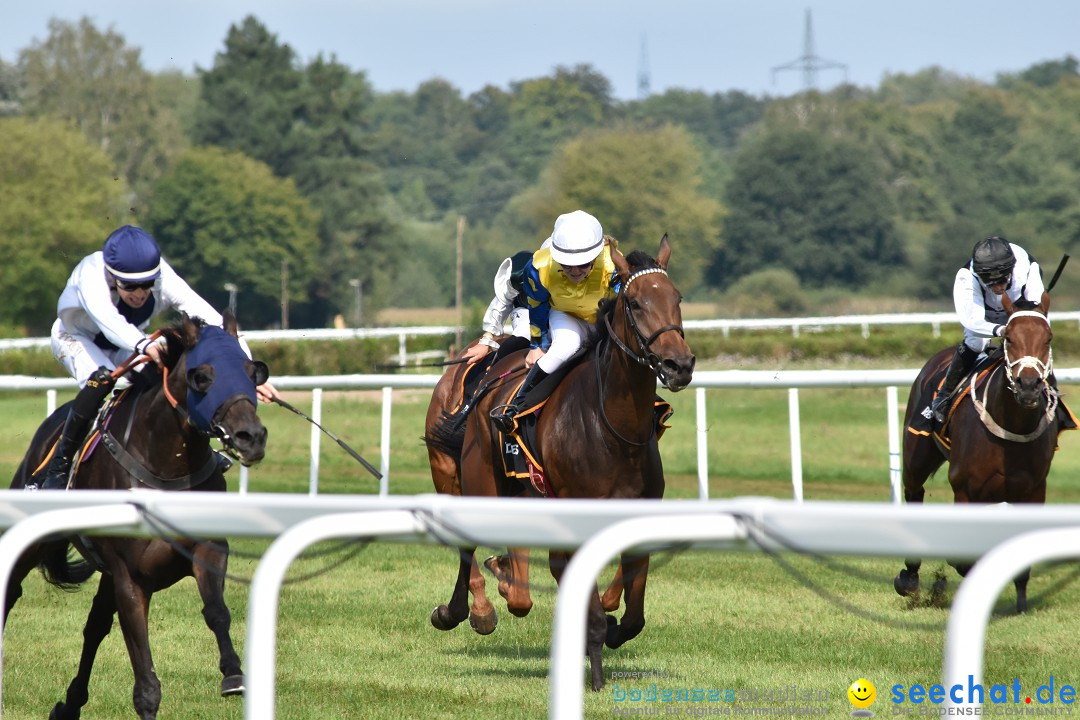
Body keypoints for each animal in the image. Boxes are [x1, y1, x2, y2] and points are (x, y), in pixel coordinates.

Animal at [6, 313, 267, 720]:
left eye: (252, 372)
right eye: (202, 377)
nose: (250, 437)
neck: (166, 468)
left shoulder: (206, 550)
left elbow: (216, 611)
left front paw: (233, 674)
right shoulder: (131, 578)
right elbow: (145, 679)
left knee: (95, 626)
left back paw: (70, 704)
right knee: (13, 592)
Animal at [425, 237, 695, 690]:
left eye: (676, 298)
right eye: (635, 303)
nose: (679, 364)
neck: (613, 428)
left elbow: (633, 617)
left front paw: (610, 626)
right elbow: (593, 609)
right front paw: (596, 671)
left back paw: (505, 580)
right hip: (470, 475)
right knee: (469, 543)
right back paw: (471, 610)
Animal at [894, 293, 1062, 613]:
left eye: (1048, 338)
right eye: (1009, 337)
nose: (1029, 386)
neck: (1011, 426)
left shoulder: (1033, 491)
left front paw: (1021, 603)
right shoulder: (965, 488)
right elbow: (962, 559)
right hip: (916, 455)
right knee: (913, 492)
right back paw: (909, 577)